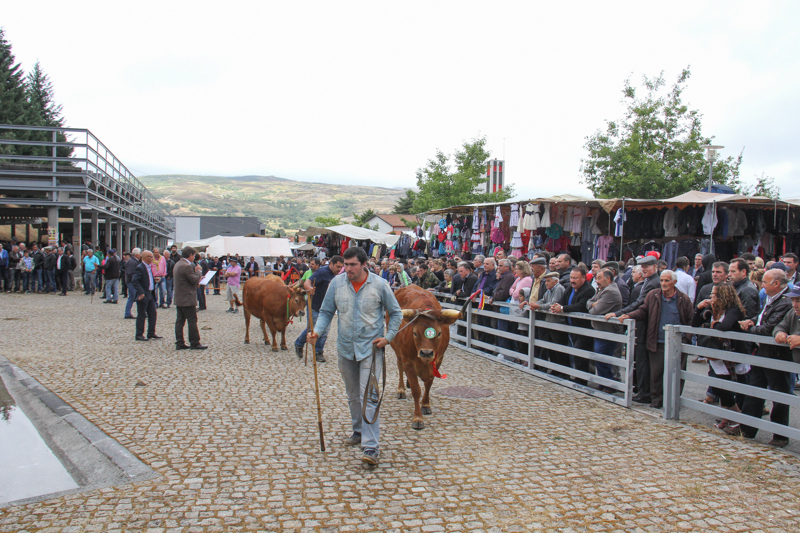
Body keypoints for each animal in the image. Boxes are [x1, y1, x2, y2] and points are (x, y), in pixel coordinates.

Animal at [390, 284, 460, 430]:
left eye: (439, 333)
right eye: (415, 333)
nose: (426, 353)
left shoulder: (438, 360)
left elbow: (429, 383)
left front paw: (426, 405)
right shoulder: (408, 362)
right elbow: (416, 390)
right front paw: (418, 418)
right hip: (398, 350)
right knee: (400, 367)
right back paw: (401, 389)